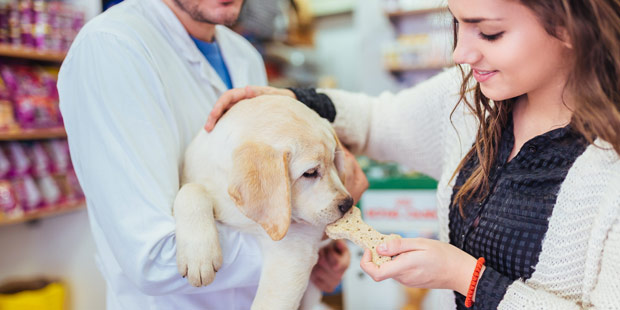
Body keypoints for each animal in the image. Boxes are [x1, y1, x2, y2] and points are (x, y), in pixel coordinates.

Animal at [173, 94, 354, 310]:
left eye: (334, 161)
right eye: (310, 173)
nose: (349, 203)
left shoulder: (293, 251)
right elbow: (191, 189)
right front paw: (199, 255)